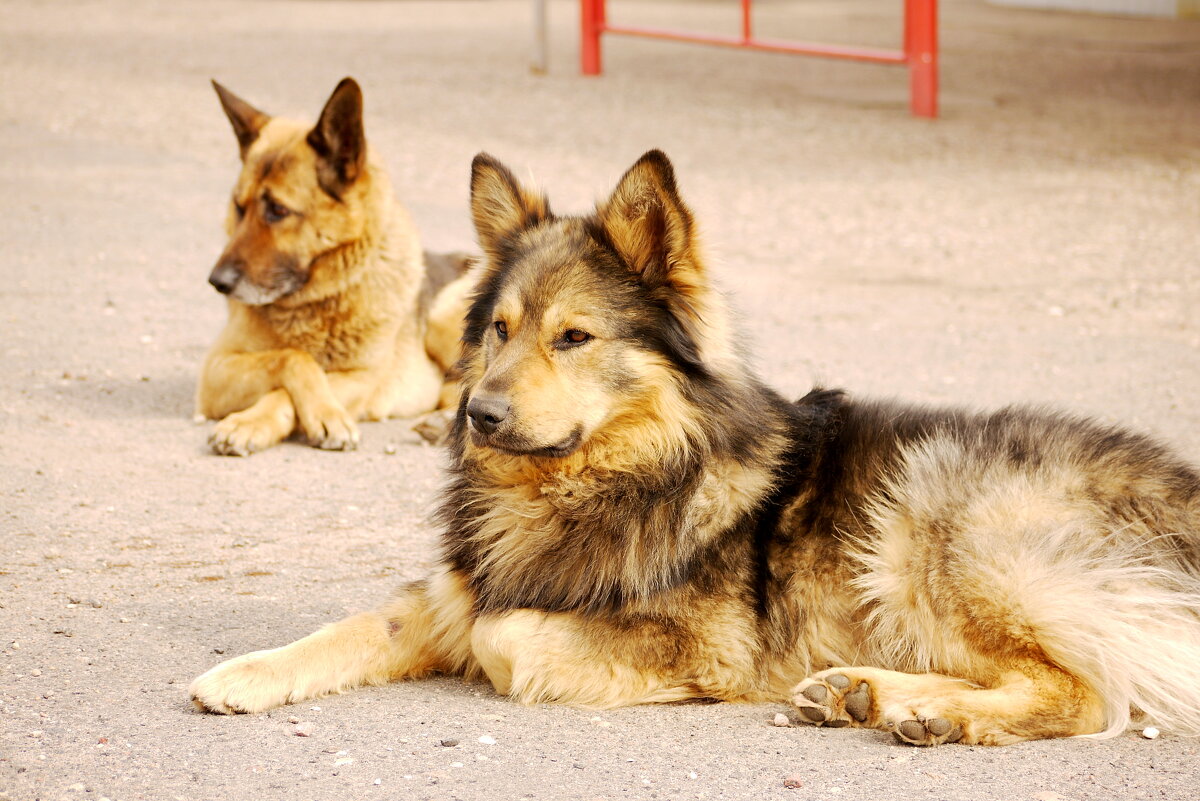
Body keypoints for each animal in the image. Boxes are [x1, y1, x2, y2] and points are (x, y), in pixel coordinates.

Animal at [187, 148, 1200, 743]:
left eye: (574, 337)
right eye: (499, 330)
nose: (476, 414)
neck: (608, 471)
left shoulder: (700, 642)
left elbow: (503, 633)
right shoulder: (454, 585)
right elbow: (361, 625)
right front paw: (243, 672)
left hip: (936, 519)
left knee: (1085, 690)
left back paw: (918, 707)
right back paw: (863, 692)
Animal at [194, 79, 470, 455]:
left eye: (278, 210)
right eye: (239, 207)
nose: (217, 282)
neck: (313, 306)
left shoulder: (361, 377)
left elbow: (289, 379)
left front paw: (322, 415)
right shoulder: (216, 370)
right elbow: (293, 357)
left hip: (443, 318)